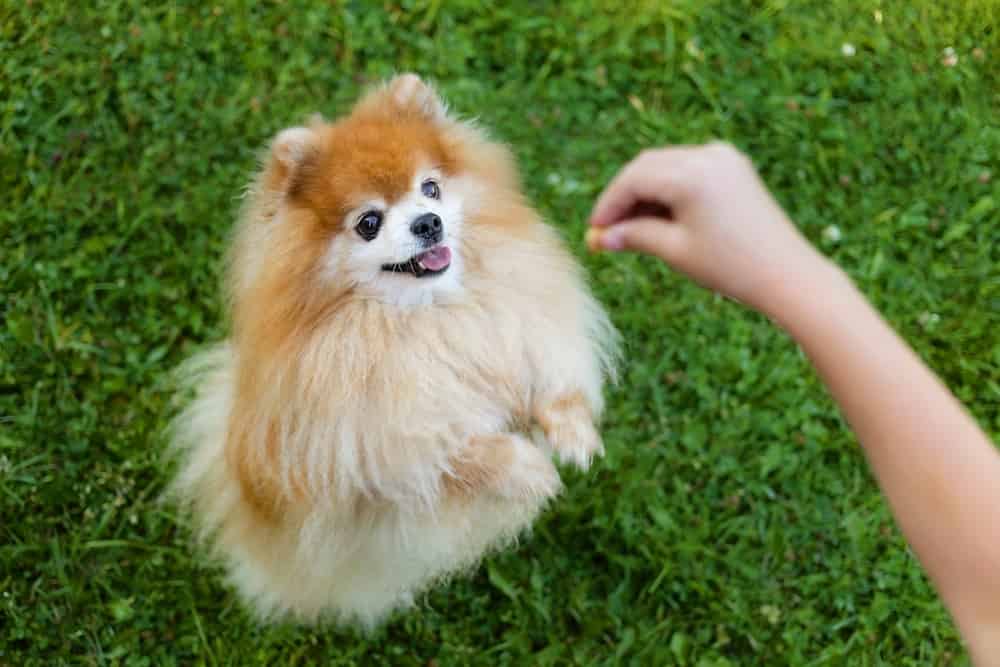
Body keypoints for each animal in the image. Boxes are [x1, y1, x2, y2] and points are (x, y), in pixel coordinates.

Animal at [168, 75, 616, 628]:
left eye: (431, 188)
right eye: (369, 223)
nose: (428, 222)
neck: (426, 316)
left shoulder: (526, 327)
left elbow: (551, 380)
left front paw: (573, 434)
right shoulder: (373, 442)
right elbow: (451, 451)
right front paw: (529, 470)